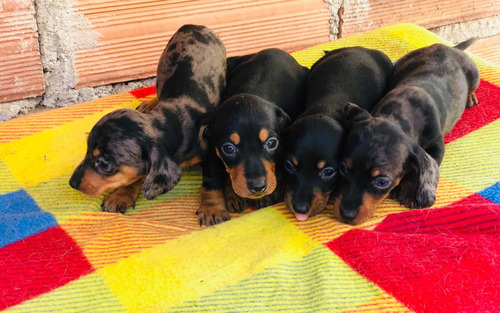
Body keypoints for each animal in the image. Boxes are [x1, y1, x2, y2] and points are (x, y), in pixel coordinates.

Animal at [68, 25, 227, 212]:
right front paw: (121, 195)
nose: (71, 183)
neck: (172, 122)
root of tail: (193, 26)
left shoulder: (208, 152)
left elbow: (211, 178)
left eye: (104, 162)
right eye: (86, 150)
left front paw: (212, 208)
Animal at [195, 47, 308, 225]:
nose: (258, 187)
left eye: (272, 143)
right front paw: (212, 209)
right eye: (228, 148)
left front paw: (267, 194)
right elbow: (211, 178)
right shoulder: (213, 147)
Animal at [332, 39, 480, 224]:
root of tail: (451, 48)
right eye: (343, 168)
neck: (400, 111)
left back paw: (470, 97)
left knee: (472, 87)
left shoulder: (437, 144)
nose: (346, 214)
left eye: (382, 181)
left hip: (474, 75)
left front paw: (409, 192)